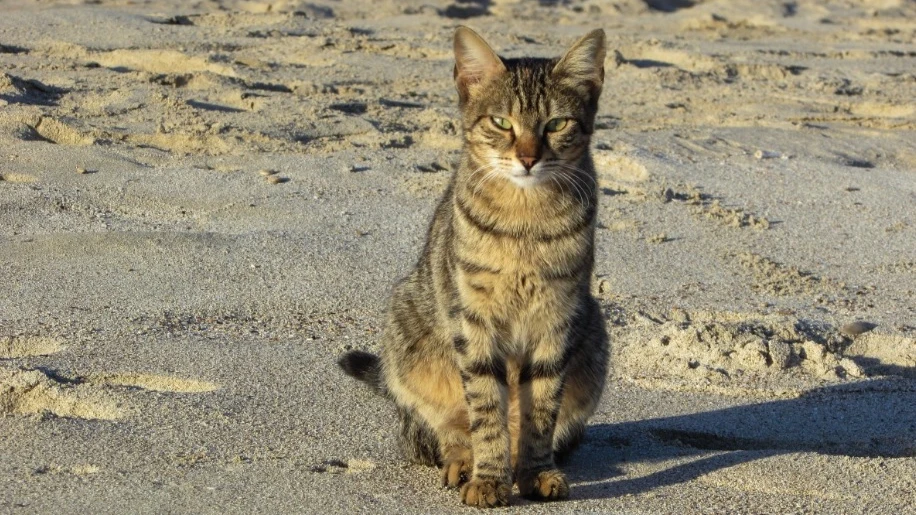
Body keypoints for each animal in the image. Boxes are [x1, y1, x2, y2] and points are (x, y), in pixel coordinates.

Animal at [336, 27, 608, 508]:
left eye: (556, 124)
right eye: (501, 122)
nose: (528, 158)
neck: (525, 219)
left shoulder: (557, 319)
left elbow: (540, 411)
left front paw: (535, 472)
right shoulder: (473, 320)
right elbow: (486, 410)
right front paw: (489, 478)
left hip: (593, 333)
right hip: (408, 329)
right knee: (443, 429)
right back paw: (463, 463)